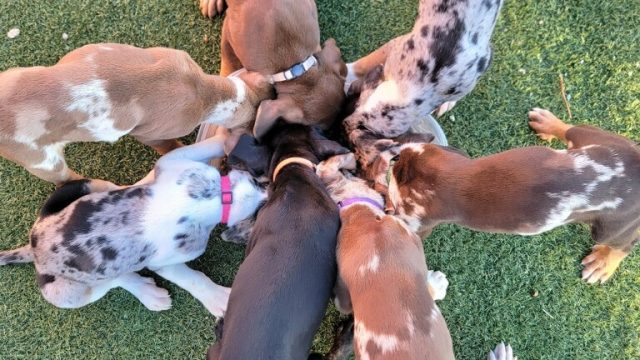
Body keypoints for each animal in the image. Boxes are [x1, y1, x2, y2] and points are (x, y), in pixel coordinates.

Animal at [382, 108, 636, 282]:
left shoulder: (419, 220)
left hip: (609, 228)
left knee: (627, 243)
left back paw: (604, 263)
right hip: (589, 134)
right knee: (569, 129)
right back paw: (547, 123)